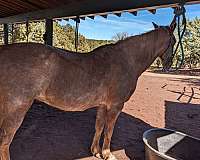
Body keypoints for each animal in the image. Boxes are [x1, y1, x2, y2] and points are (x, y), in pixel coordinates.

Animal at [0, 20, 175, 160]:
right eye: (173, 41)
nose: (168, 64)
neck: (127, 60)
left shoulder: (103, 105)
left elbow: (99, 127)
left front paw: (95, 151)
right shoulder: (115, 106)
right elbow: (109, 130)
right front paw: (107, 154)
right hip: (17, 109)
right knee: (5, 142)